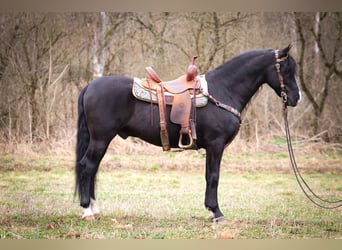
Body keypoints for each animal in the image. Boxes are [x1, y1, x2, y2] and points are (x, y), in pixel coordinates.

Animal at [75, 45, 300, 221]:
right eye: (287, 69)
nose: (296, 98)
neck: (223, 89)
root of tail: (90, 86)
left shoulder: (212, 147)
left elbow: (209, 175)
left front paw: (211, 210)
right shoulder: (216, 144)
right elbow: (214, 176)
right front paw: (216, 213)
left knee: (93, 168)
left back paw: (95, 208)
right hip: (101, 138)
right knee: (87, 167)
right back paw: (87, 211)